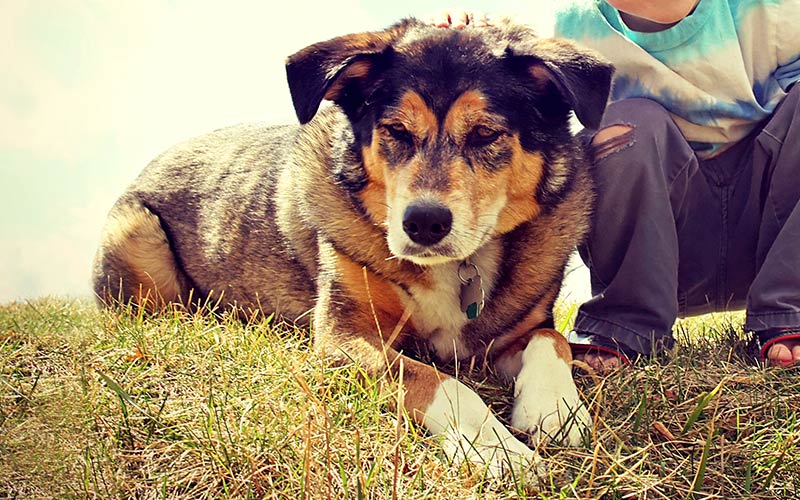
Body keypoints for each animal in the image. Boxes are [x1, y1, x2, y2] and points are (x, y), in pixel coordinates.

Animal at [94, 18, 616, 476]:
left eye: (486, 133)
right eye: (397, 130)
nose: (423, 223)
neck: (455, 267)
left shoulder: (510, 335)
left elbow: (551, 341)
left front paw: (554, 409)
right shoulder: (342, 341)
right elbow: (439, 382)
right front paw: (495, 448)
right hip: (137, 237)